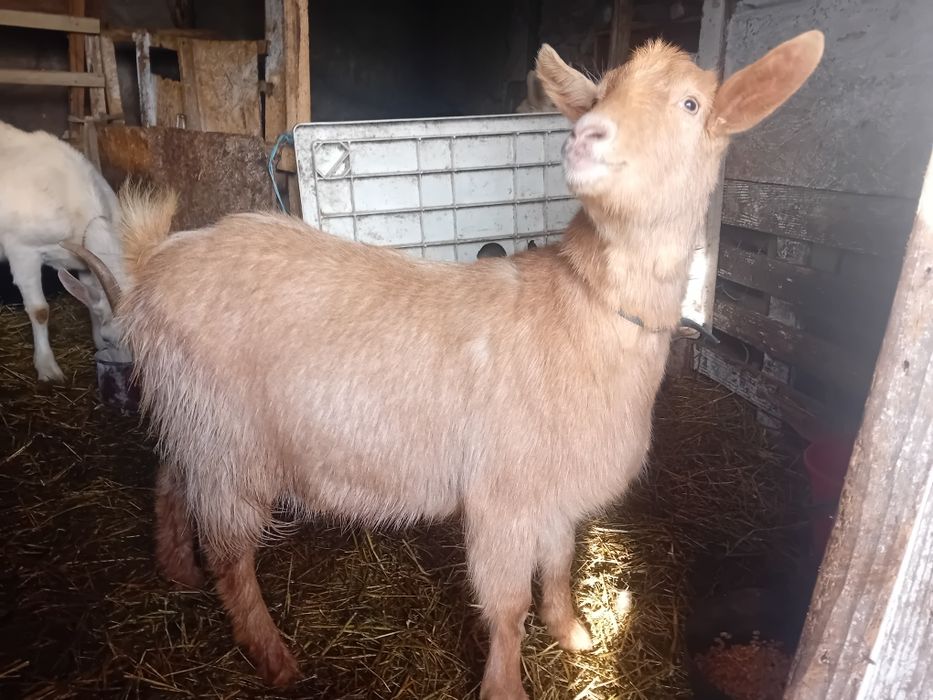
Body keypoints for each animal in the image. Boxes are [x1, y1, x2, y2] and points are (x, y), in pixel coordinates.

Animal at [70, 32, 823, 700]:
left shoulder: (554, 493)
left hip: (193, 413)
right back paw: (273, 657)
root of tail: (156, 261)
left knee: (170, 478)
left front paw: (573, 633)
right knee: (229, 551)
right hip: (231, 437)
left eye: (691, 104)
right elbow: (507, 605)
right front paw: (505, 686)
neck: (584, 309)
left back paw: (176, 569)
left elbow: (557, 568)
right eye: (600, 92)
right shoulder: (503, 494)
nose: (587, 137)